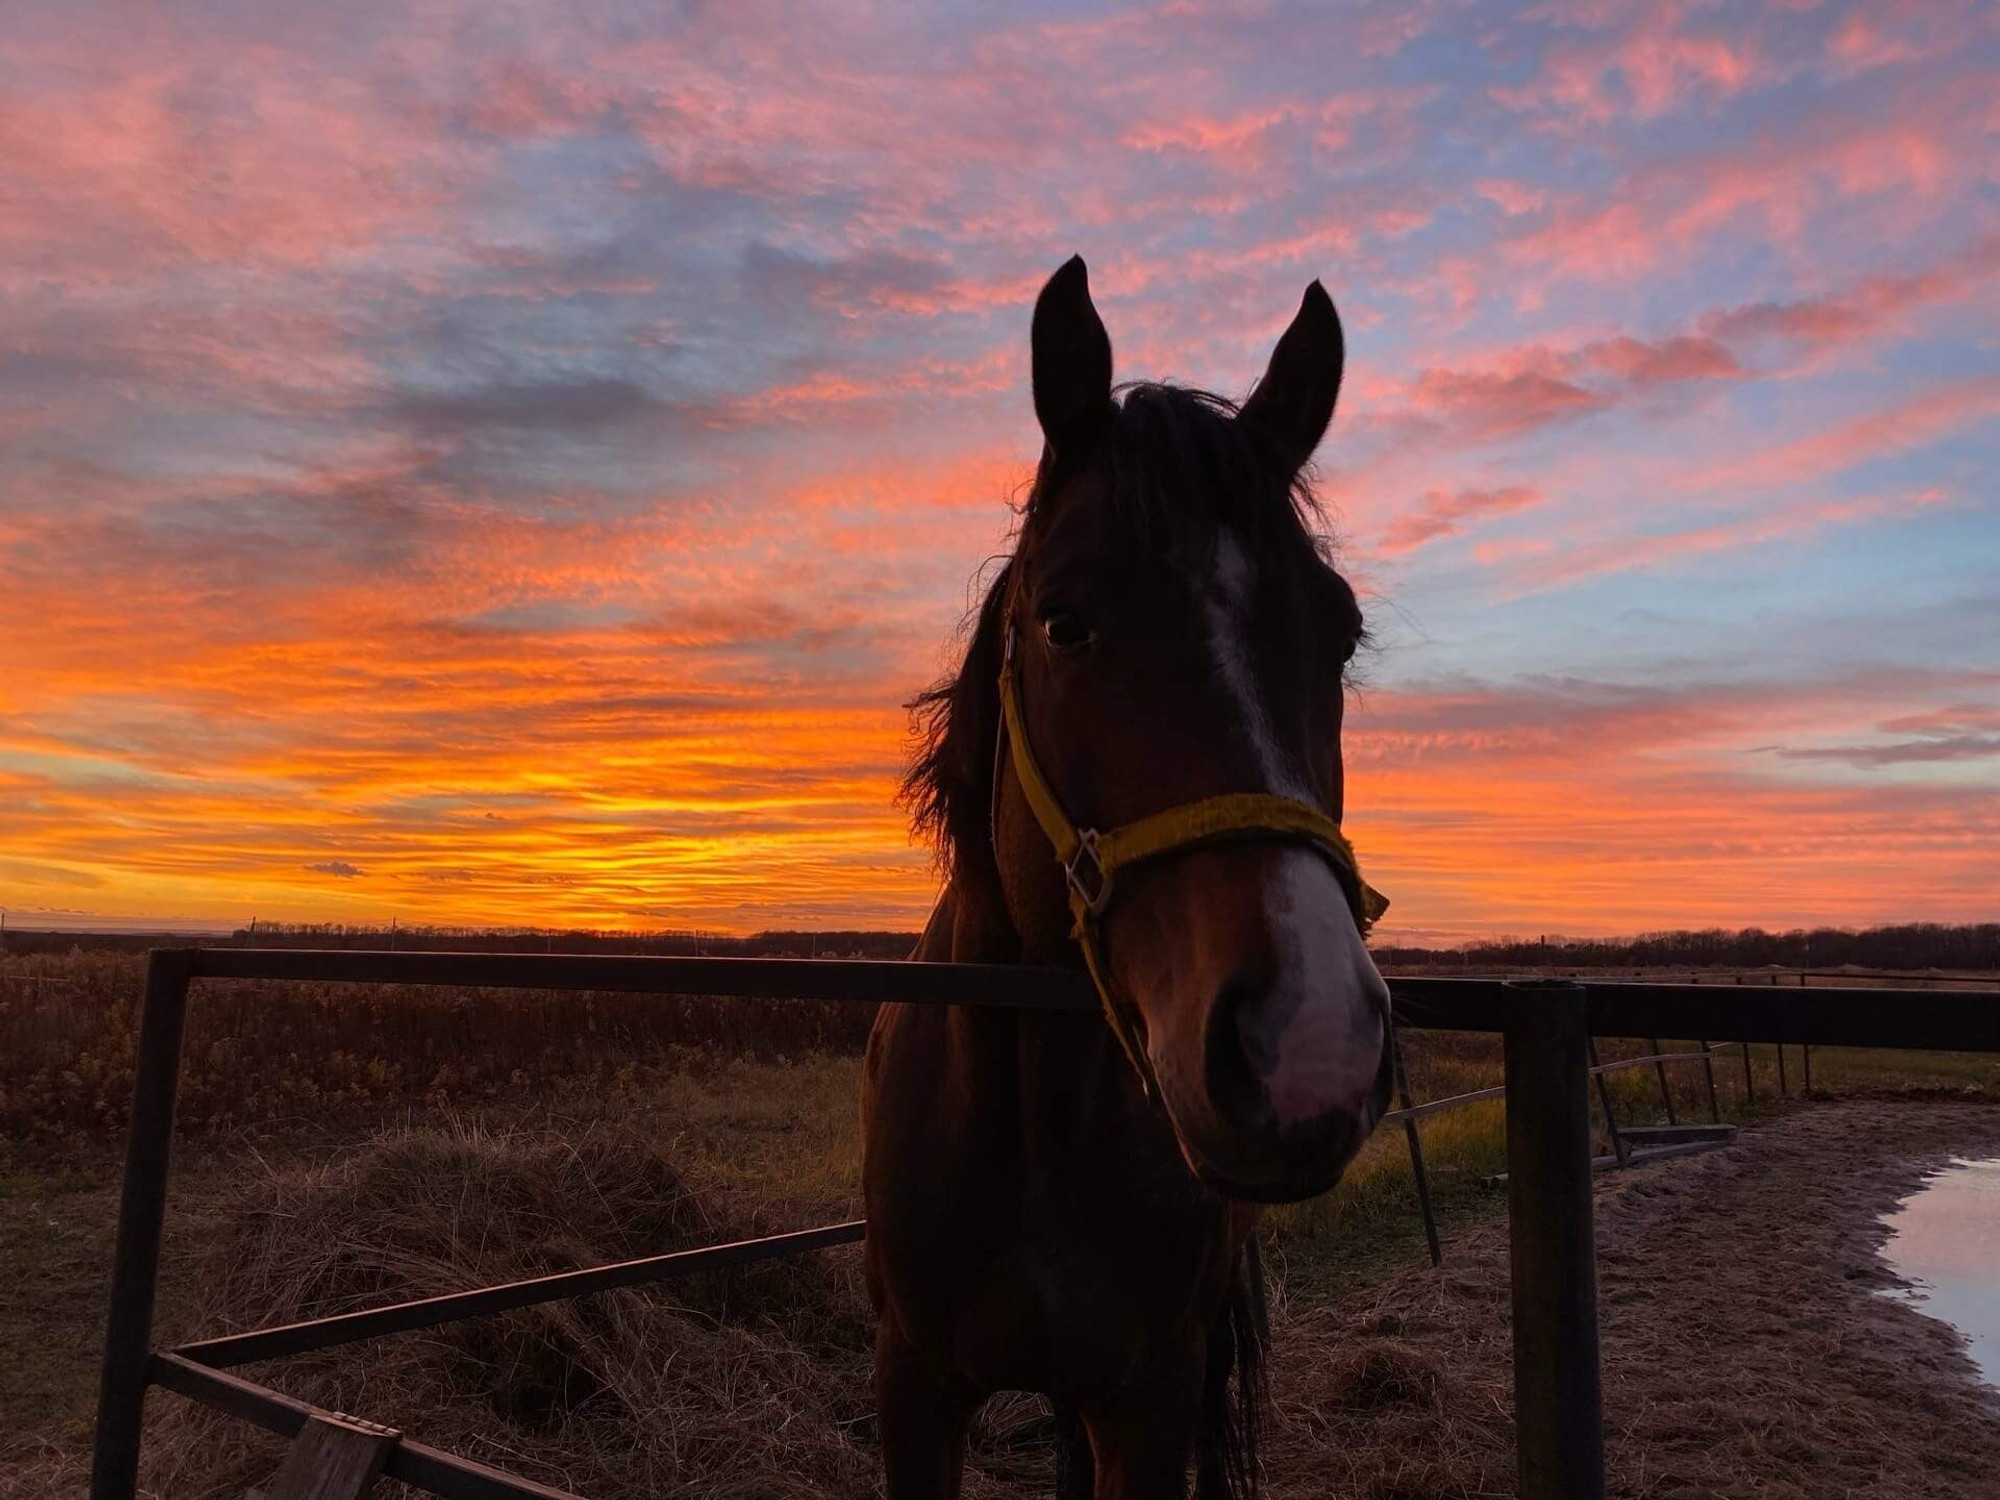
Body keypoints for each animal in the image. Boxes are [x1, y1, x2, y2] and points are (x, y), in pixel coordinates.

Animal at [860, 262, 1392, 1500]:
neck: (1031, 1119)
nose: (1306, 1042)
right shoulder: (911, 1387)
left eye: (1341, 634)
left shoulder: (1147, 1399)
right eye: (1064, 621)